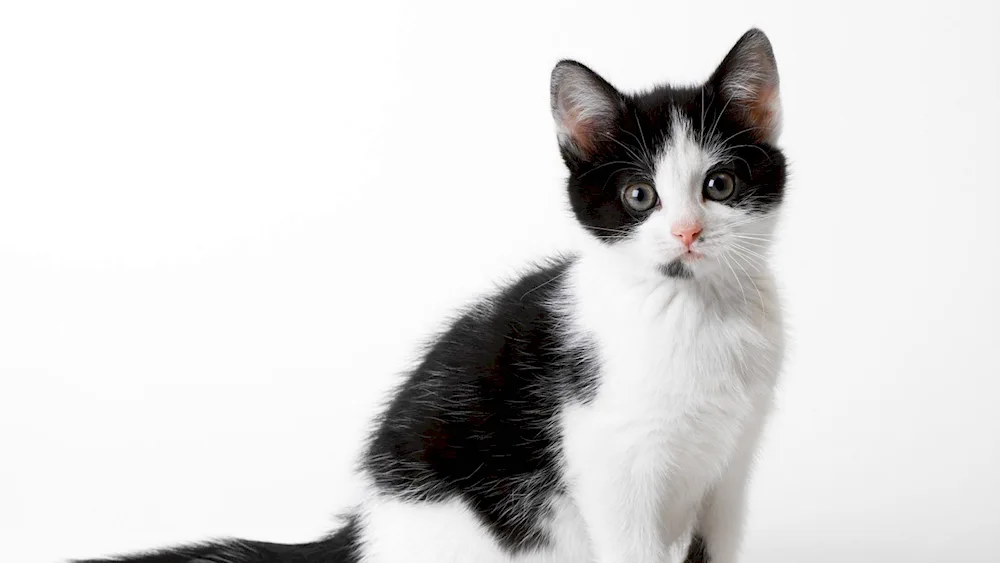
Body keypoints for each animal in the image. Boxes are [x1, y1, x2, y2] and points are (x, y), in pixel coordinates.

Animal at [78, 27, 784, 563]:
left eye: (719, 185)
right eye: (640, 195)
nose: (687, 231)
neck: (693, 312)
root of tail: (364, 530)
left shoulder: (734, 464)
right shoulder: (610, 467)